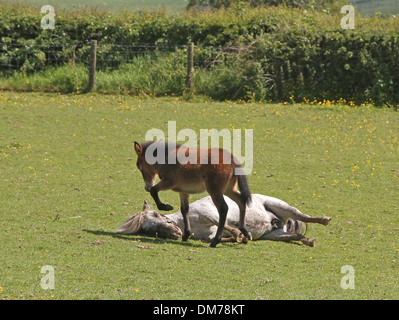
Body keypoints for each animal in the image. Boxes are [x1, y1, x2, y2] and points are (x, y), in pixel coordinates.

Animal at [116, 192, 332, 248]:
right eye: (148, 230)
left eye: (155, 215)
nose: (174, 234)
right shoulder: (208, 234)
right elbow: (217, 237)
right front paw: (240, 238)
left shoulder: (209, 213)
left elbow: (225, 222)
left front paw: (239, 233)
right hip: (275, 234)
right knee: (294, 236)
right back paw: (308, 241)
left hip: (281, 206)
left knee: (301, 215)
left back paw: (324, 219)